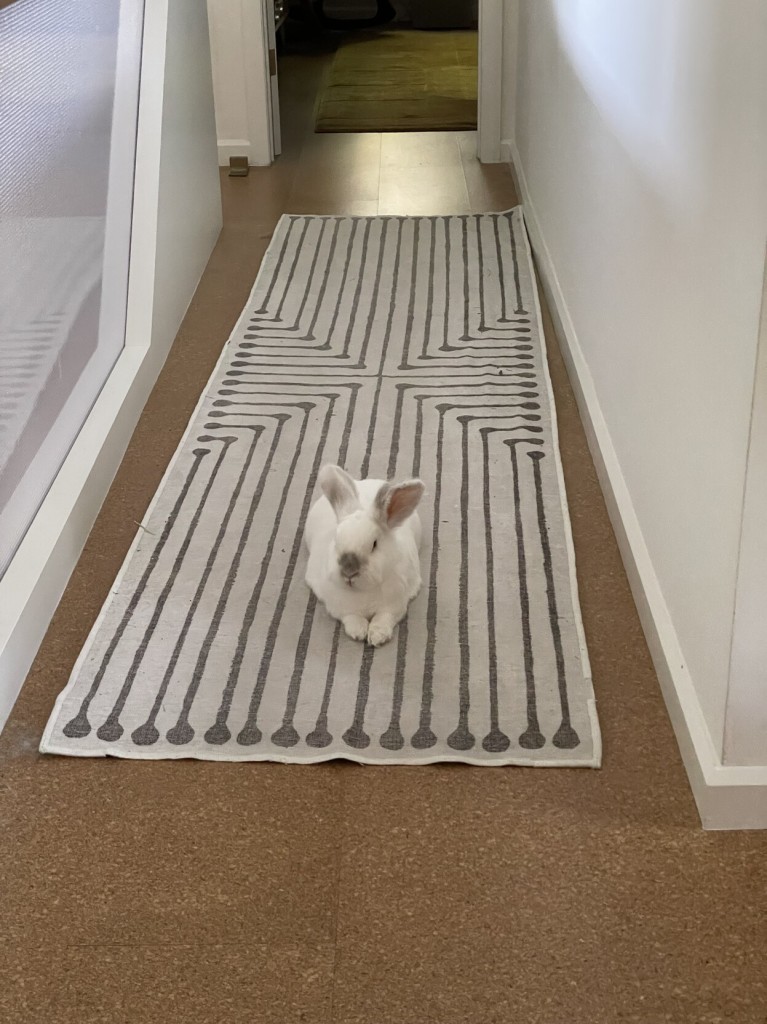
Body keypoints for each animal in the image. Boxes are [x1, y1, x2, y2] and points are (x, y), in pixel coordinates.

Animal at [305, 466, 423, 643]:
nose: (349, 572)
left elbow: (384, 618)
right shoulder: (339, 607)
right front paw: (359, 631)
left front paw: (377, 636)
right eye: (336, 541)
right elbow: (351, 617)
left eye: (374, 544)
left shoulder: (395, 606)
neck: (363, 591)